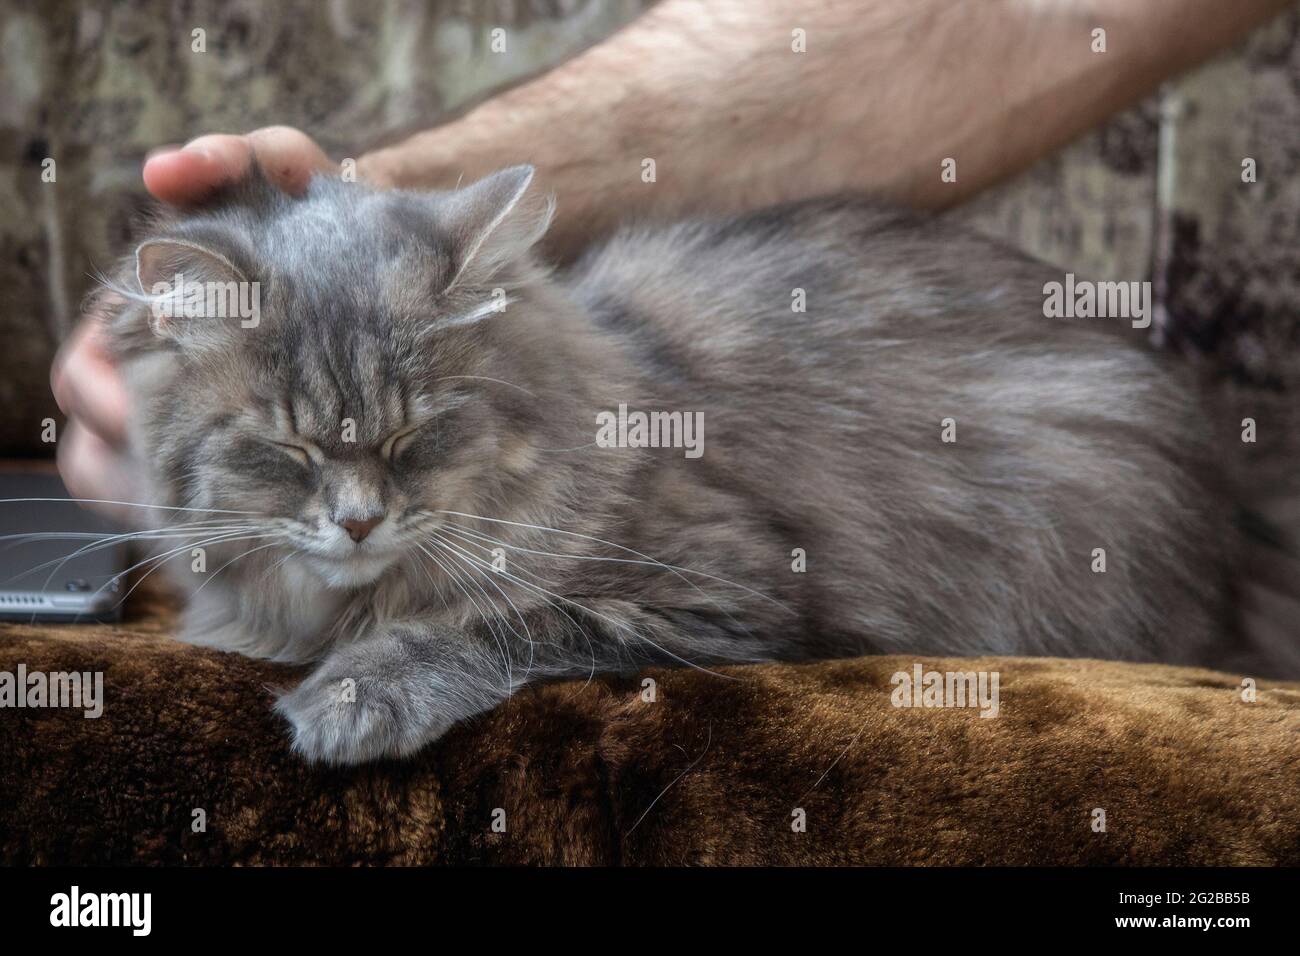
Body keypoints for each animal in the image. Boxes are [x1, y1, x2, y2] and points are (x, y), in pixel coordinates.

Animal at [101, 162, 1300, 764]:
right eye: (289, 449)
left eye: (414, 435)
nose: (357, 521)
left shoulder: (725, 585)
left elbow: (488, 621)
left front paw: (351, 696)